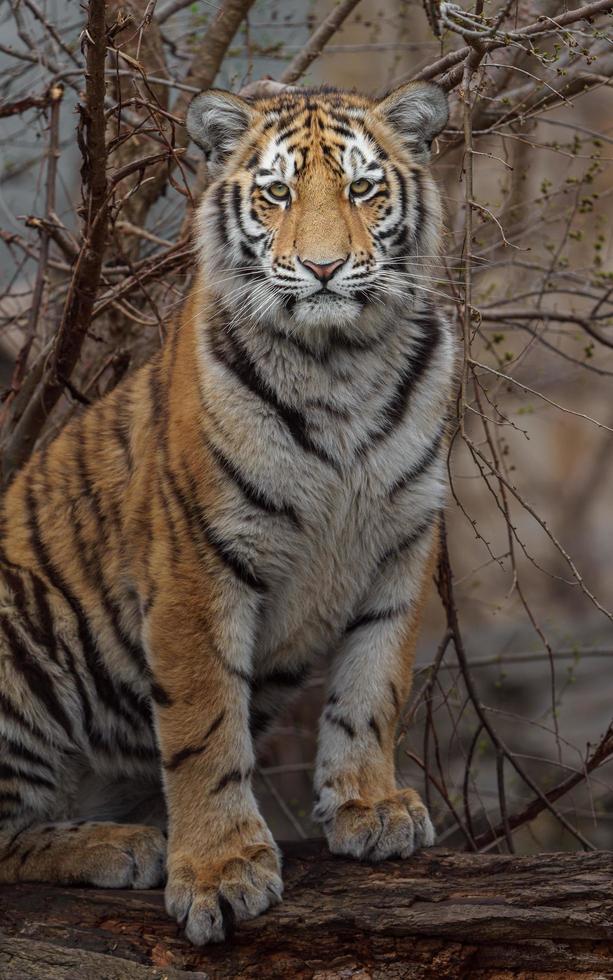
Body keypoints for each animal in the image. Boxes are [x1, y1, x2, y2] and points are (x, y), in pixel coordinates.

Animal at [0, 82, 454, 940]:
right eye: (276, 193)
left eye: (361, 188)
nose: (322, 268)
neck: (339, 366)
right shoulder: (197, 564)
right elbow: (205, 733)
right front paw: (218, 872)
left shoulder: (402, 543)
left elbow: (372, 687)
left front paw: (371, 807)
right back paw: (119, 845)